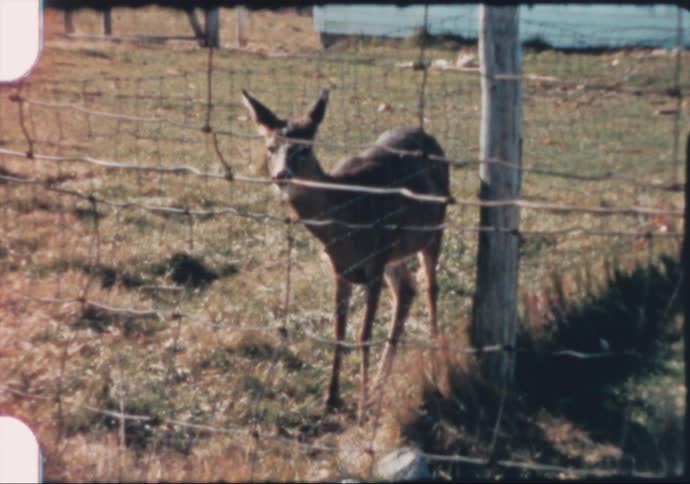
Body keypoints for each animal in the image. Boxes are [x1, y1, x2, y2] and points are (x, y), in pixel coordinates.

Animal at [241, 89, 451, 421]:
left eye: (304, 149)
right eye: (270, 147)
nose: (281, 176)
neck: (348, 211)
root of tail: (430, 137)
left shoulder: (375, 261)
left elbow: (363, 334)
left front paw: (363, 409)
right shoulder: (341, 268)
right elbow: (338, 331)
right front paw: (331, 398)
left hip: (432, 231)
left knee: (430, 287)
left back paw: (433, 361)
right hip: (395, 254)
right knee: (407, 289)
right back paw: (380, 383)